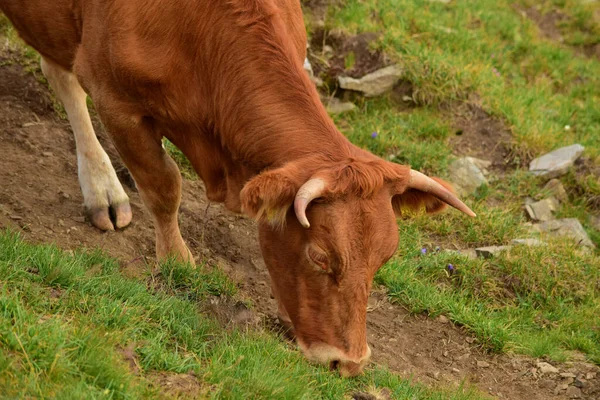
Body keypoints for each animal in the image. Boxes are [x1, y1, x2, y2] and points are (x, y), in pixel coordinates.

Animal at [1, 0, 474, 376]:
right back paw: (104, 188)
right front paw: (176, 261)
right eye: (320, 257)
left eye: (384, 258)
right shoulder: (114, 98)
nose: (349, 363)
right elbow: (163, 185)